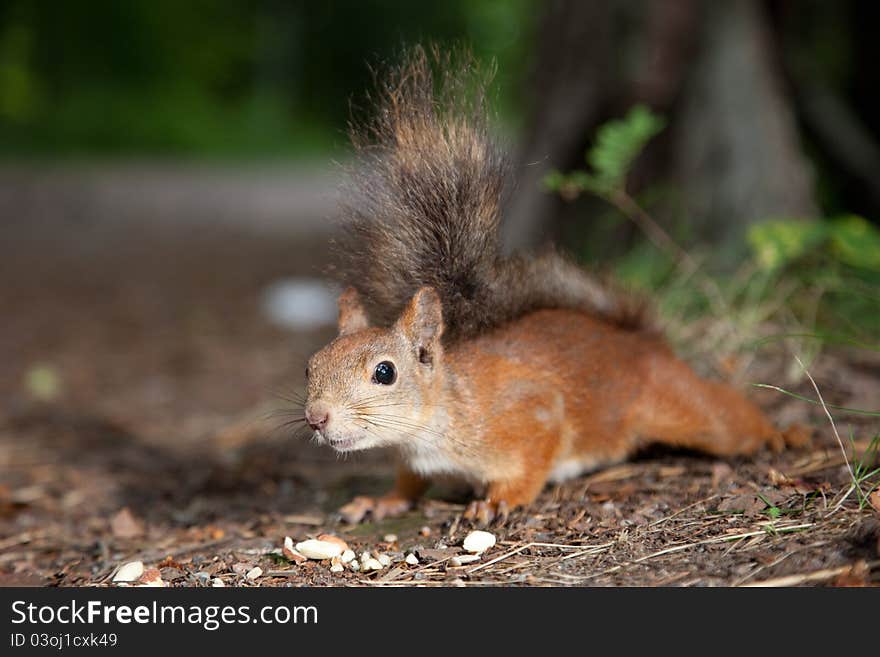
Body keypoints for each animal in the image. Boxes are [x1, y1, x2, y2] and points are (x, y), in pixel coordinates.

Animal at [302, 47, 812, 524]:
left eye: (385, 372)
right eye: (310, 367)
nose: (315, 417)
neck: (437, 419)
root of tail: (641, 341)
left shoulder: (533, 415)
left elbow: (533, 461)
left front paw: (498, 500)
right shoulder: (414, 461)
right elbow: (408, 484)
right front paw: (381, 500)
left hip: (679, 408)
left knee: (725, 417)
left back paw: (780, 434)